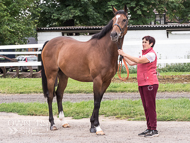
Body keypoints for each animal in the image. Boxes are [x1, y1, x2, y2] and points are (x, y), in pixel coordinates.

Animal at [40, 5, 128, 135]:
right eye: (113, 20)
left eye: (124, 20)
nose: (114, 34)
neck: (104, 50)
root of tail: (49, 43)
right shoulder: (97, 80)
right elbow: (96, 102)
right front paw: (97, 127)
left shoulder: (106, 81)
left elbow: (99, 101)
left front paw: (92, 125)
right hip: (51, 75)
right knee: (50, 96)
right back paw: (53, 124)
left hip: (64, 76)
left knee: (59, 94)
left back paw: (64, 122)